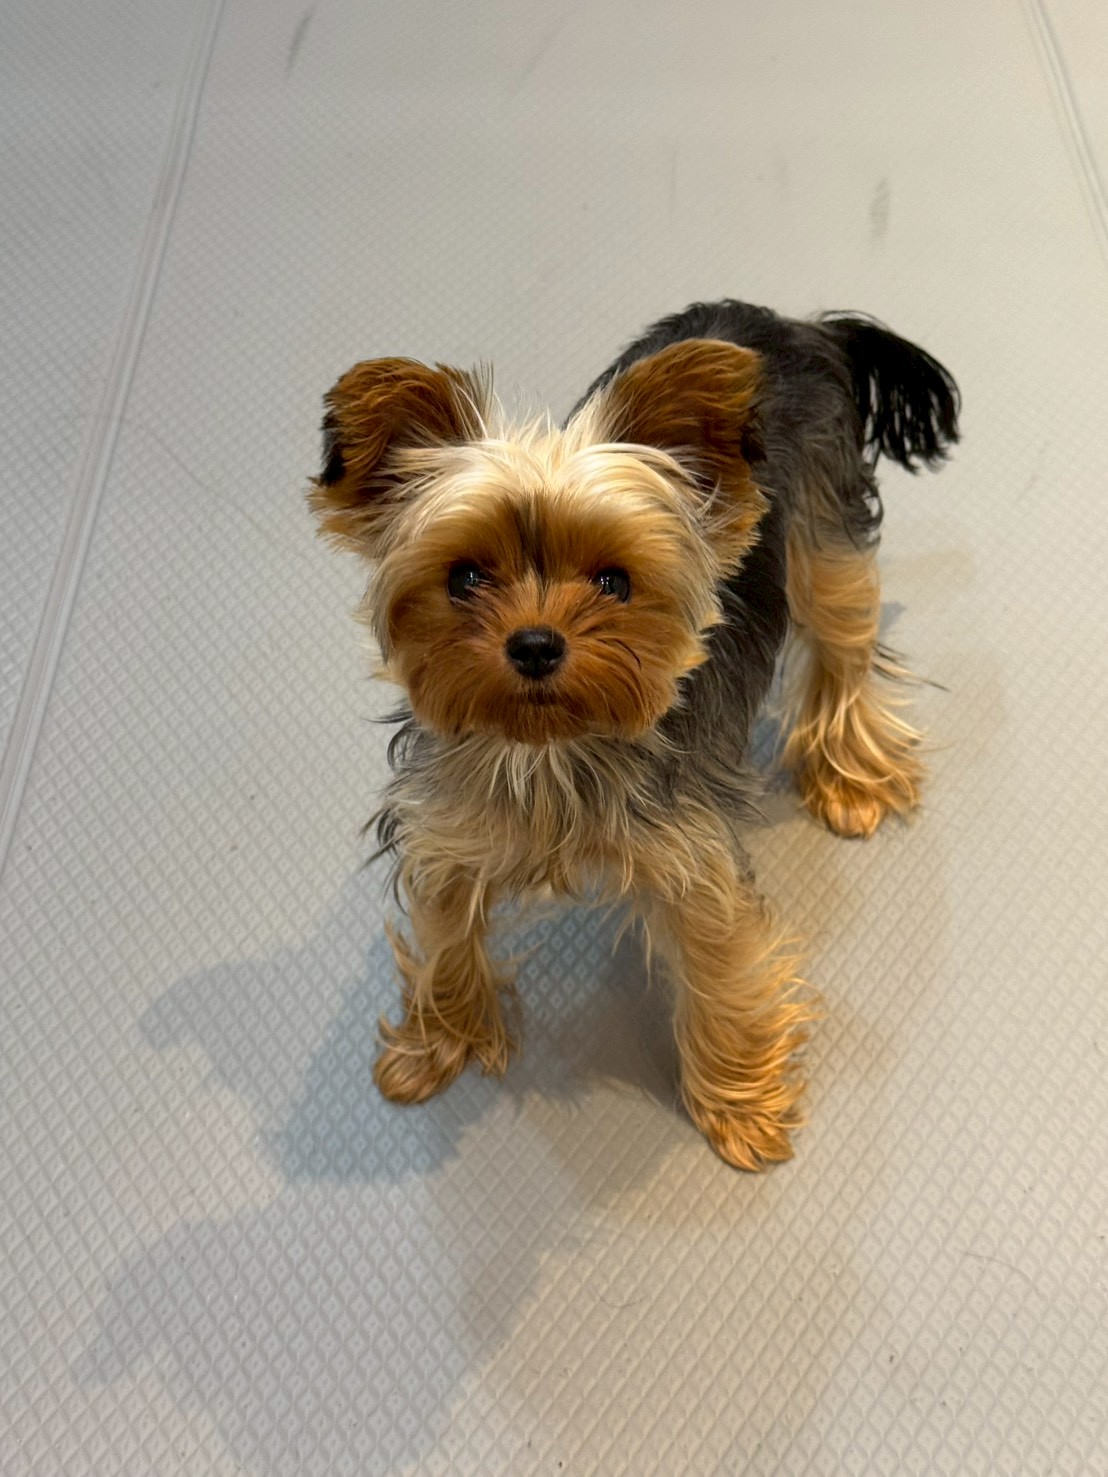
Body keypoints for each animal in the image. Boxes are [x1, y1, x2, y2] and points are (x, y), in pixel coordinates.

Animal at [310, 299, 959, 1169]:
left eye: (614, 581)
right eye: (465, 578)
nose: (535, 644)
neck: (552, 747)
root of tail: (797, 325)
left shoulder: (692, 857)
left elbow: (722, 967)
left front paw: (740, 1106)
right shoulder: (446, 827)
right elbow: (443, 929)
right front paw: (434, 1045)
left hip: (825, 529)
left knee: (843, 636)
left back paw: (850, 773)